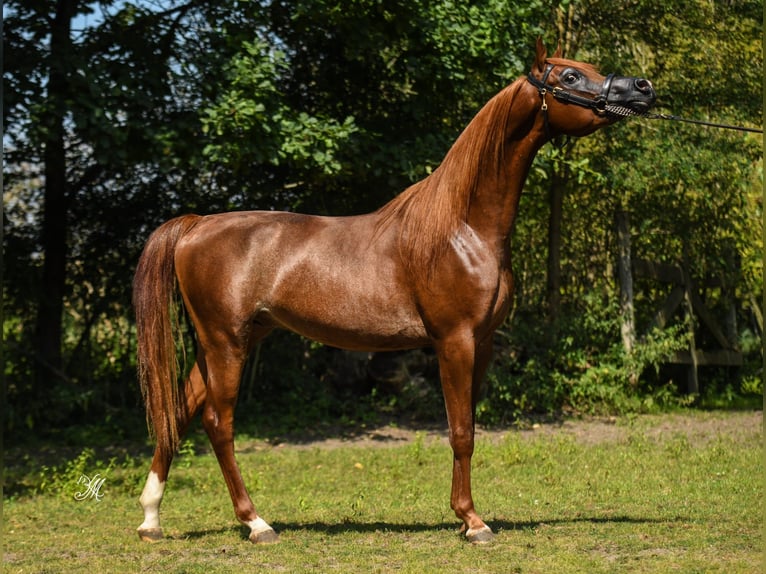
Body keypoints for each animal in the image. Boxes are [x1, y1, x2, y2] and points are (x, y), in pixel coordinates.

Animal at [133, 38, 656, 545]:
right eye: (570, 76)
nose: (643, 88)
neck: (463, 227)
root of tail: (198, 224)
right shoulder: (454, 341)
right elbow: (460, 431)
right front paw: (473, 522)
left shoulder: (483, 343)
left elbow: (469, 427)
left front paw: (464, 517)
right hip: (227, 343)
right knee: (218, 423)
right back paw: (256, 523)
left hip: (226, 342)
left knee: (180, 411)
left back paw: (151, 519)